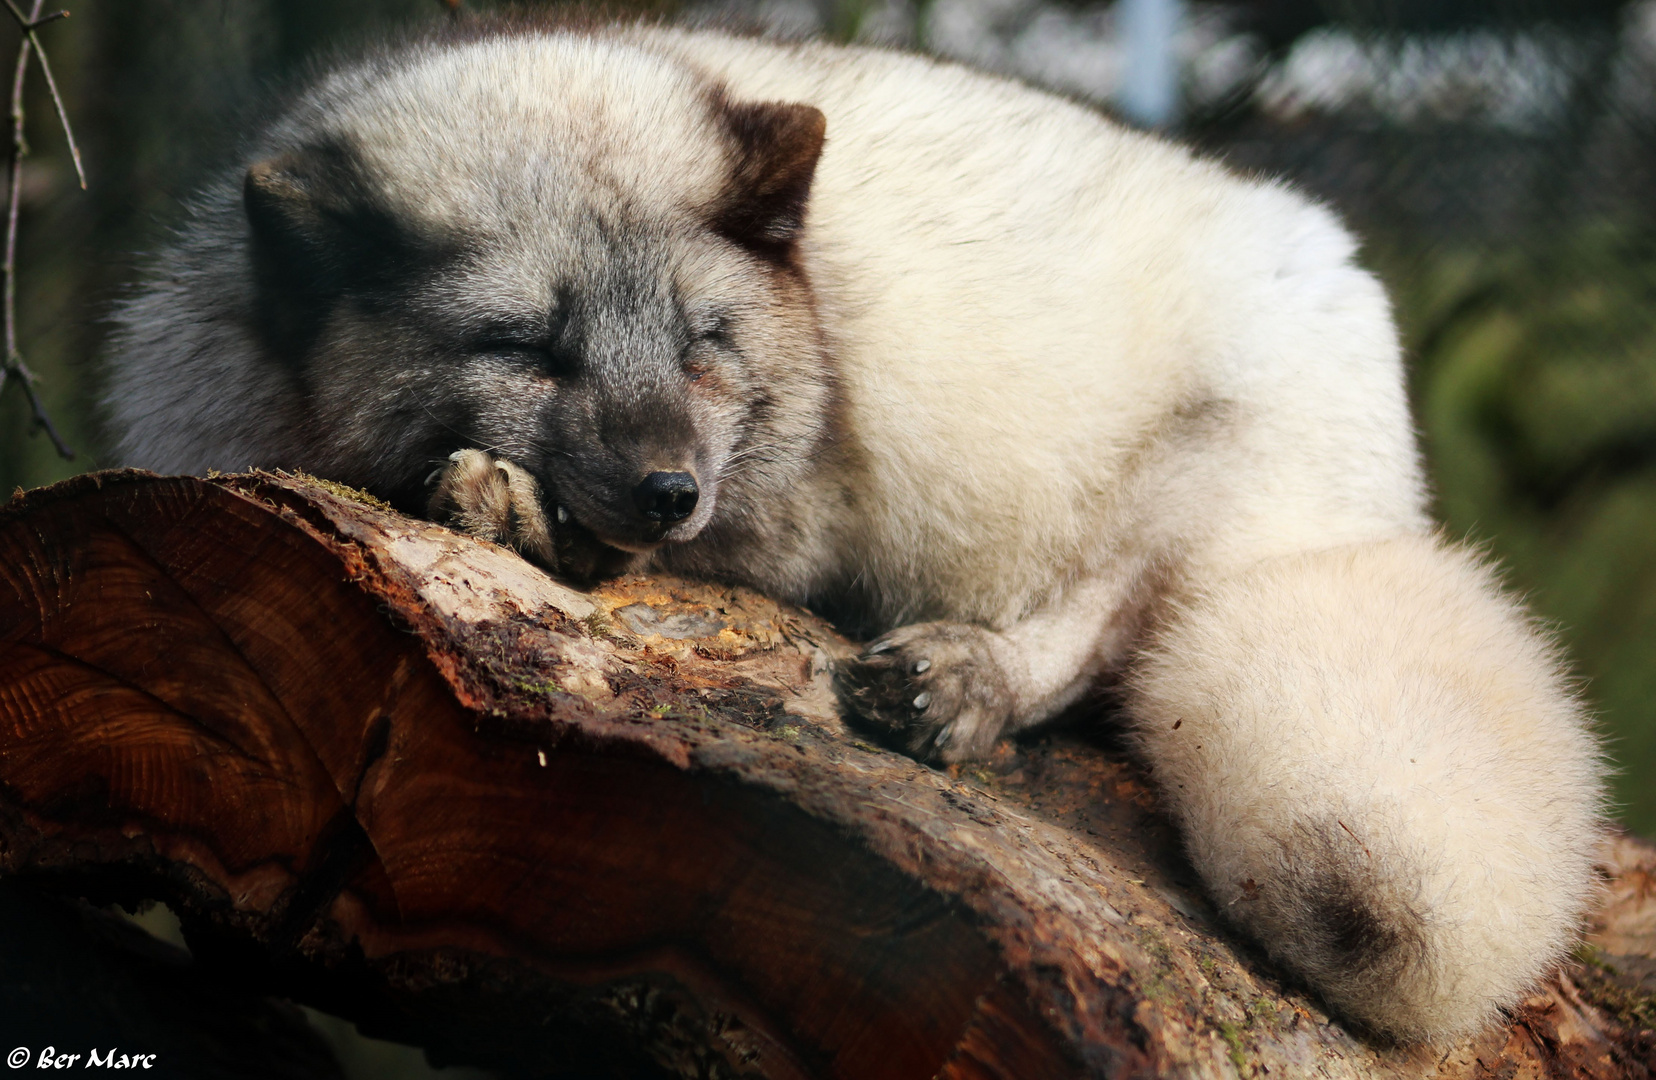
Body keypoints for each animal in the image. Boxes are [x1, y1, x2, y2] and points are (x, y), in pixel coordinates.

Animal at [103, 16, 1603, 1040]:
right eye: (526, 346)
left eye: (704, 342)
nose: (668, 490)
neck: (813, 315)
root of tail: (1390, 495)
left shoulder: (792, 510)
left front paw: (513, 508)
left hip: (1208, 471)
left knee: (1108, 629)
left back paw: (965, 679)